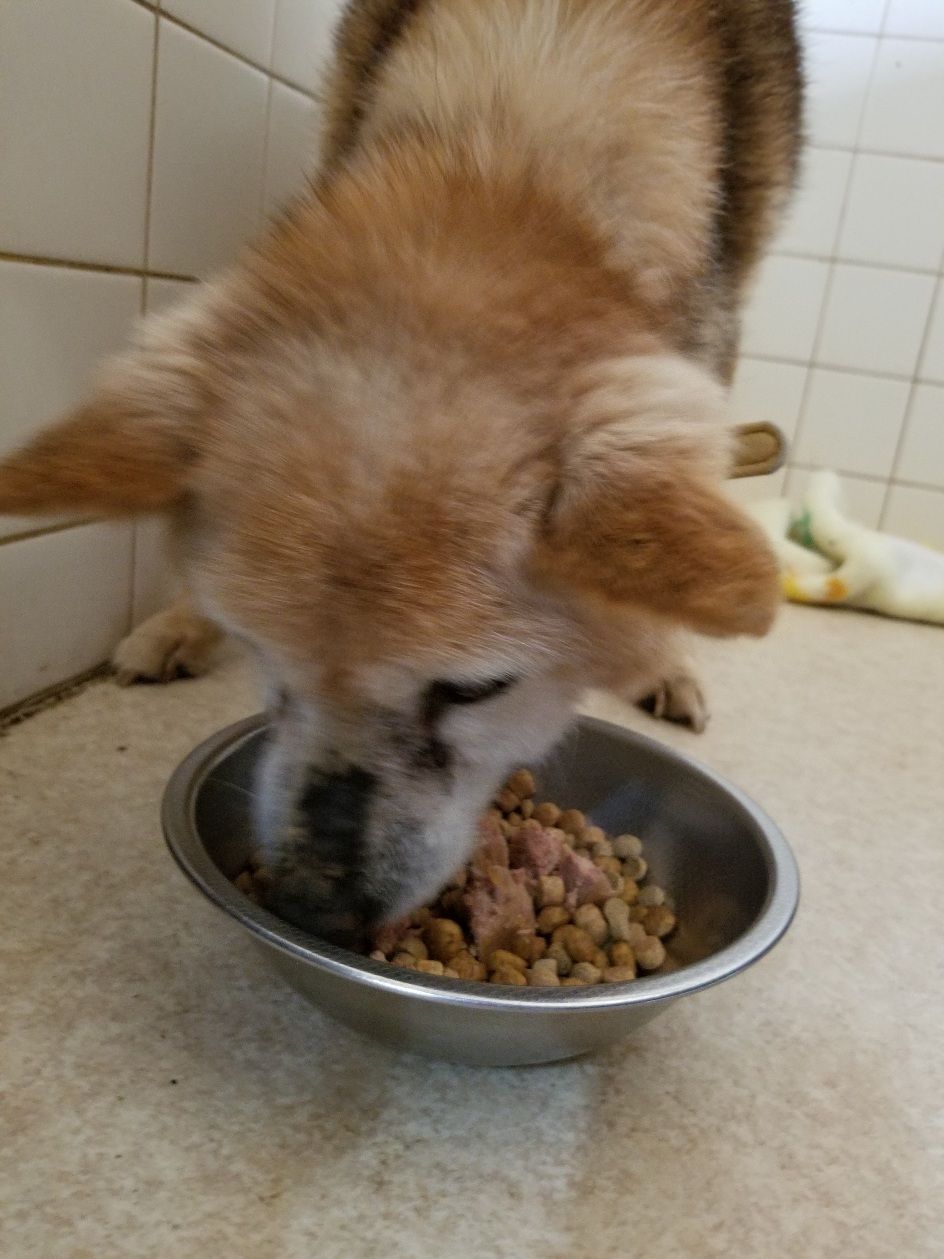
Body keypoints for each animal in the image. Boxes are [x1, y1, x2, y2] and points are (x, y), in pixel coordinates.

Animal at [0, 0, 802, 942]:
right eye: (260, 646)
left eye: (477, 688)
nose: (314, 906)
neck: (514, 133)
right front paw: (186, 622)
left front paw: (663, 654)